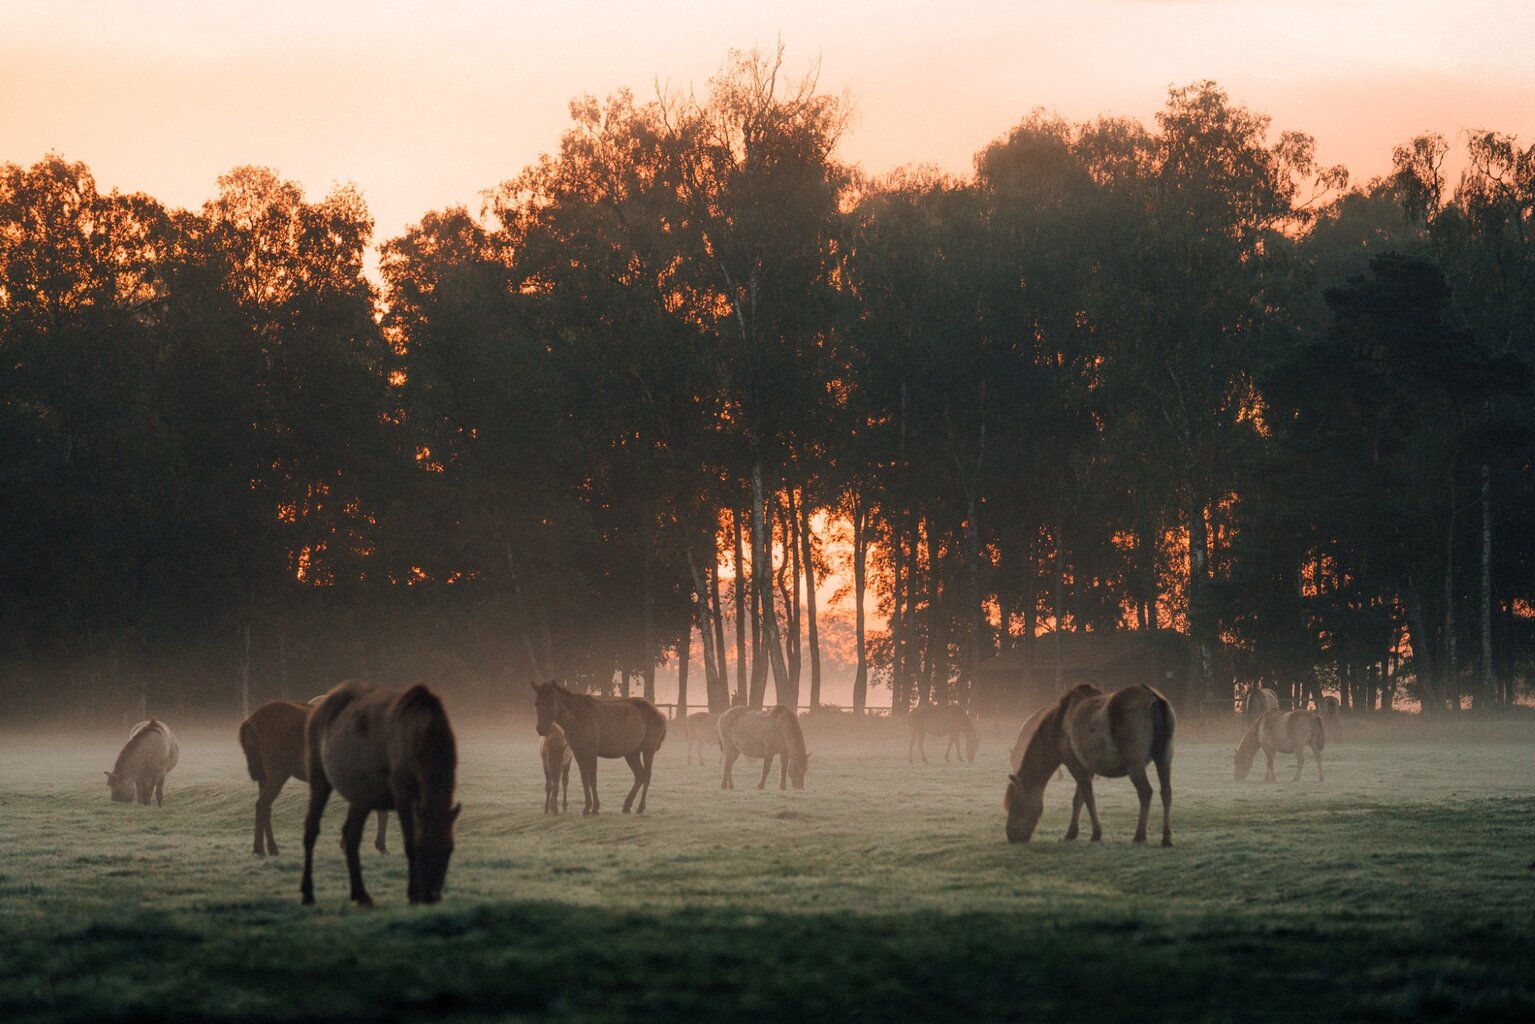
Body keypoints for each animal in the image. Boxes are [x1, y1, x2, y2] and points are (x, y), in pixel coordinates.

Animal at [238, 699, 388, 856]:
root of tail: (250, 723)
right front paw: (380, 846)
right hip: (278, 771)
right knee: (262, 804)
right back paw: (260, 849)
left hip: (263, 774)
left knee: (266, 806)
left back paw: (270, 848)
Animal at [300, 681, 459, 907]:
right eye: (422, 849)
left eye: (449, 849)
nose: (432, 896)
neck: (421, 733)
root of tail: (318, 708)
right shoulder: (403, 794)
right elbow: (408, 842)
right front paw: (412, 893)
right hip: (319, 780)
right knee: (311, 831)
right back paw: (308, 893)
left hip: (361, 797)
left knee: (350, 838)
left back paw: (360, 894)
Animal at [530, 681, 667, 815]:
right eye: (536, 703)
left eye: (551, 703)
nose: (540, 728)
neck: (576, 718)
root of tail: (660, 714)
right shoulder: (578, 752)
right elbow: (584, 779)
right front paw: (587, 807)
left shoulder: (591, 751)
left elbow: (592, 779)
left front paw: (595, 808)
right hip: (632, 753)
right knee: (639, 775)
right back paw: (627, 805)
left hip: (648, 749)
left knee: (647, 775)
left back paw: (640, 807)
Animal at [1004, 683, 1175, 846]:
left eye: (1015, 805)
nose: (1011, 835)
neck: (1055, 733)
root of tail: (1154, 699)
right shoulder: (1088, 766)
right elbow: (1078, 799)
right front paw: (1072, 832)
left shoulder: (1073, 762)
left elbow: (1087, 796)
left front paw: (1095, 833)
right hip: (1164, 756)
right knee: (1166, 791)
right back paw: (1166, 837)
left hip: (1135, 763)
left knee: (1145, 792)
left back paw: (1140, 835)